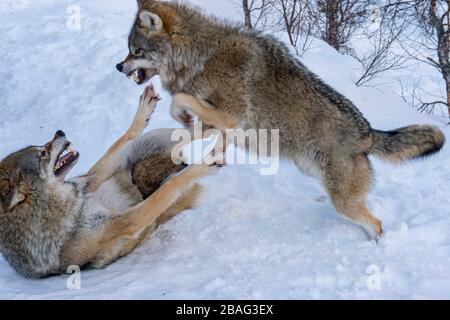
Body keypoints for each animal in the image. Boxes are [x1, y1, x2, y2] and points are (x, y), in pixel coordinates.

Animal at [0, 85, 218, 278]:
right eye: (42, 153)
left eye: (40, 148)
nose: (60, 132)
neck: (70, 208)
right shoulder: (122, 223)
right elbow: (168, 188)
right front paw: (206, 164)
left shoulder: (89, 181)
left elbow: (119, 141)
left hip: (151, 138)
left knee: (190, 131)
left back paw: (215, 126)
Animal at [117, 0, 446, 240]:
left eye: (136, 50)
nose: (119, 66)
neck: (200, 56)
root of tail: (367, 133)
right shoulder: (221, 123)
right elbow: (188, 120)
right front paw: (188, 125)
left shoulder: (231, 116)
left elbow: (180, 100)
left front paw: (185, 116)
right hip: (314, 174)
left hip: (343, 200)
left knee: (375, 222)